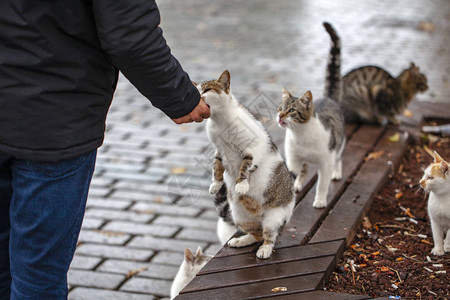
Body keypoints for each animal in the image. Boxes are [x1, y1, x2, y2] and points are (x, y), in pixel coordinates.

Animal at [194, 69, 296, 258]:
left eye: (207, 90)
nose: (196, 97)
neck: (220, 121)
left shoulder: (254, 146)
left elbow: (246, 165)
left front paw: (241, 184)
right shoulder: (219, 150)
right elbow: (216, 166)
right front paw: (216, 184)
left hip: (274, 217)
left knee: (269, 235)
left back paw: (265, 250)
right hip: (240, 216)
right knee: (256, 234)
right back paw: (241, 240)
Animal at [276, 21, 346, 209]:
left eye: (291, 110)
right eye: (280, 108)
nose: (280, 116)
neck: (301, 135)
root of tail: (329, 98)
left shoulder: (326, 161)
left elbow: (322, 184)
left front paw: (320, 200)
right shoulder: (293, 158)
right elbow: (295, 172)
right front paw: (294, 185)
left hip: (339, 144)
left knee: (339, 158)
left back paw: (337, 173)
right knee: (304, 170)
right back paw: (299, 184)